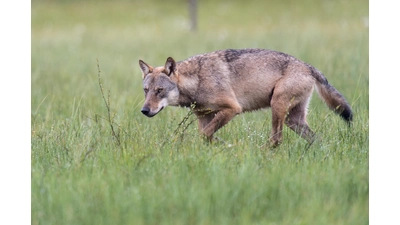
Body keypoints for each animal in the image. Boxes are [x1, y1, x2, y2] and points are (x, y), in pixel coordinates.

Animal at [139, 48, 352, 147]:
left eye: (159, 90)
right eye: (146, 91)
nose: (144, 110)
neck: (196, 80)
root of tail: (308, 66)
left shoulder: (232, 108)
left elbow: (206, 134)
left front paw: (227, 146)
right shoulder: (204, 117)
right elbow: (206, 136)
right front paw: (224, 146)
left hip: (277, 107)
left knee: (276, 140)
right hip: (293, 120)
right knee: (316, 139)